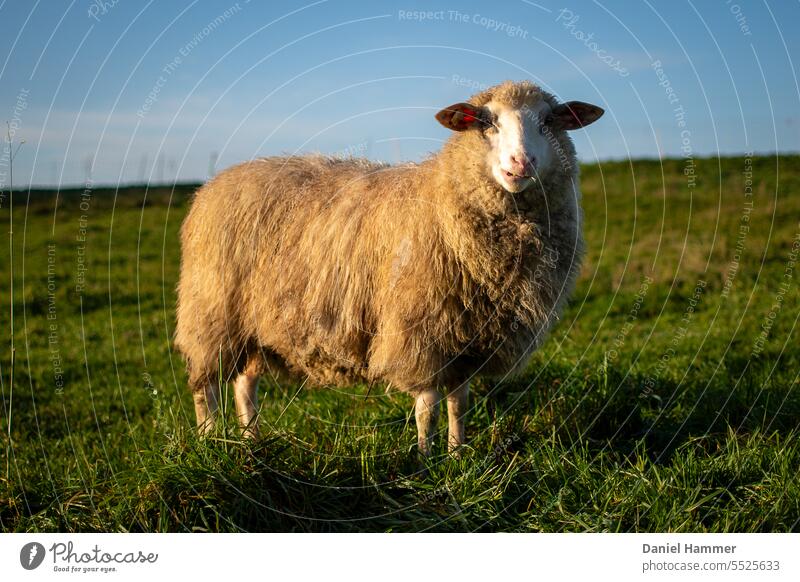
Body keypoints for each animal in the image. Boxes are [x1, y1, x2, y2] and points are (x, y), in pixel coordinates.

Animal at [175, 80, 600, 458]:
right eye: (486, 122)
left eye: (548, 122)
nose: (521, 163)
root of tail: (214, 185)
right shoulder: (420, 330)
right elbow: (427, 407)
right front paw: (426, 460)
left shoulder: (465, 340)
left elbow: (459, 404)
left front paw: (458, 454)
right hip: (211, 310)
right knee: (205, 387)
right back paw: (210, 443)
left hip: (252, 323)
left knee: (244, 384)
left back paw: (251, 441)